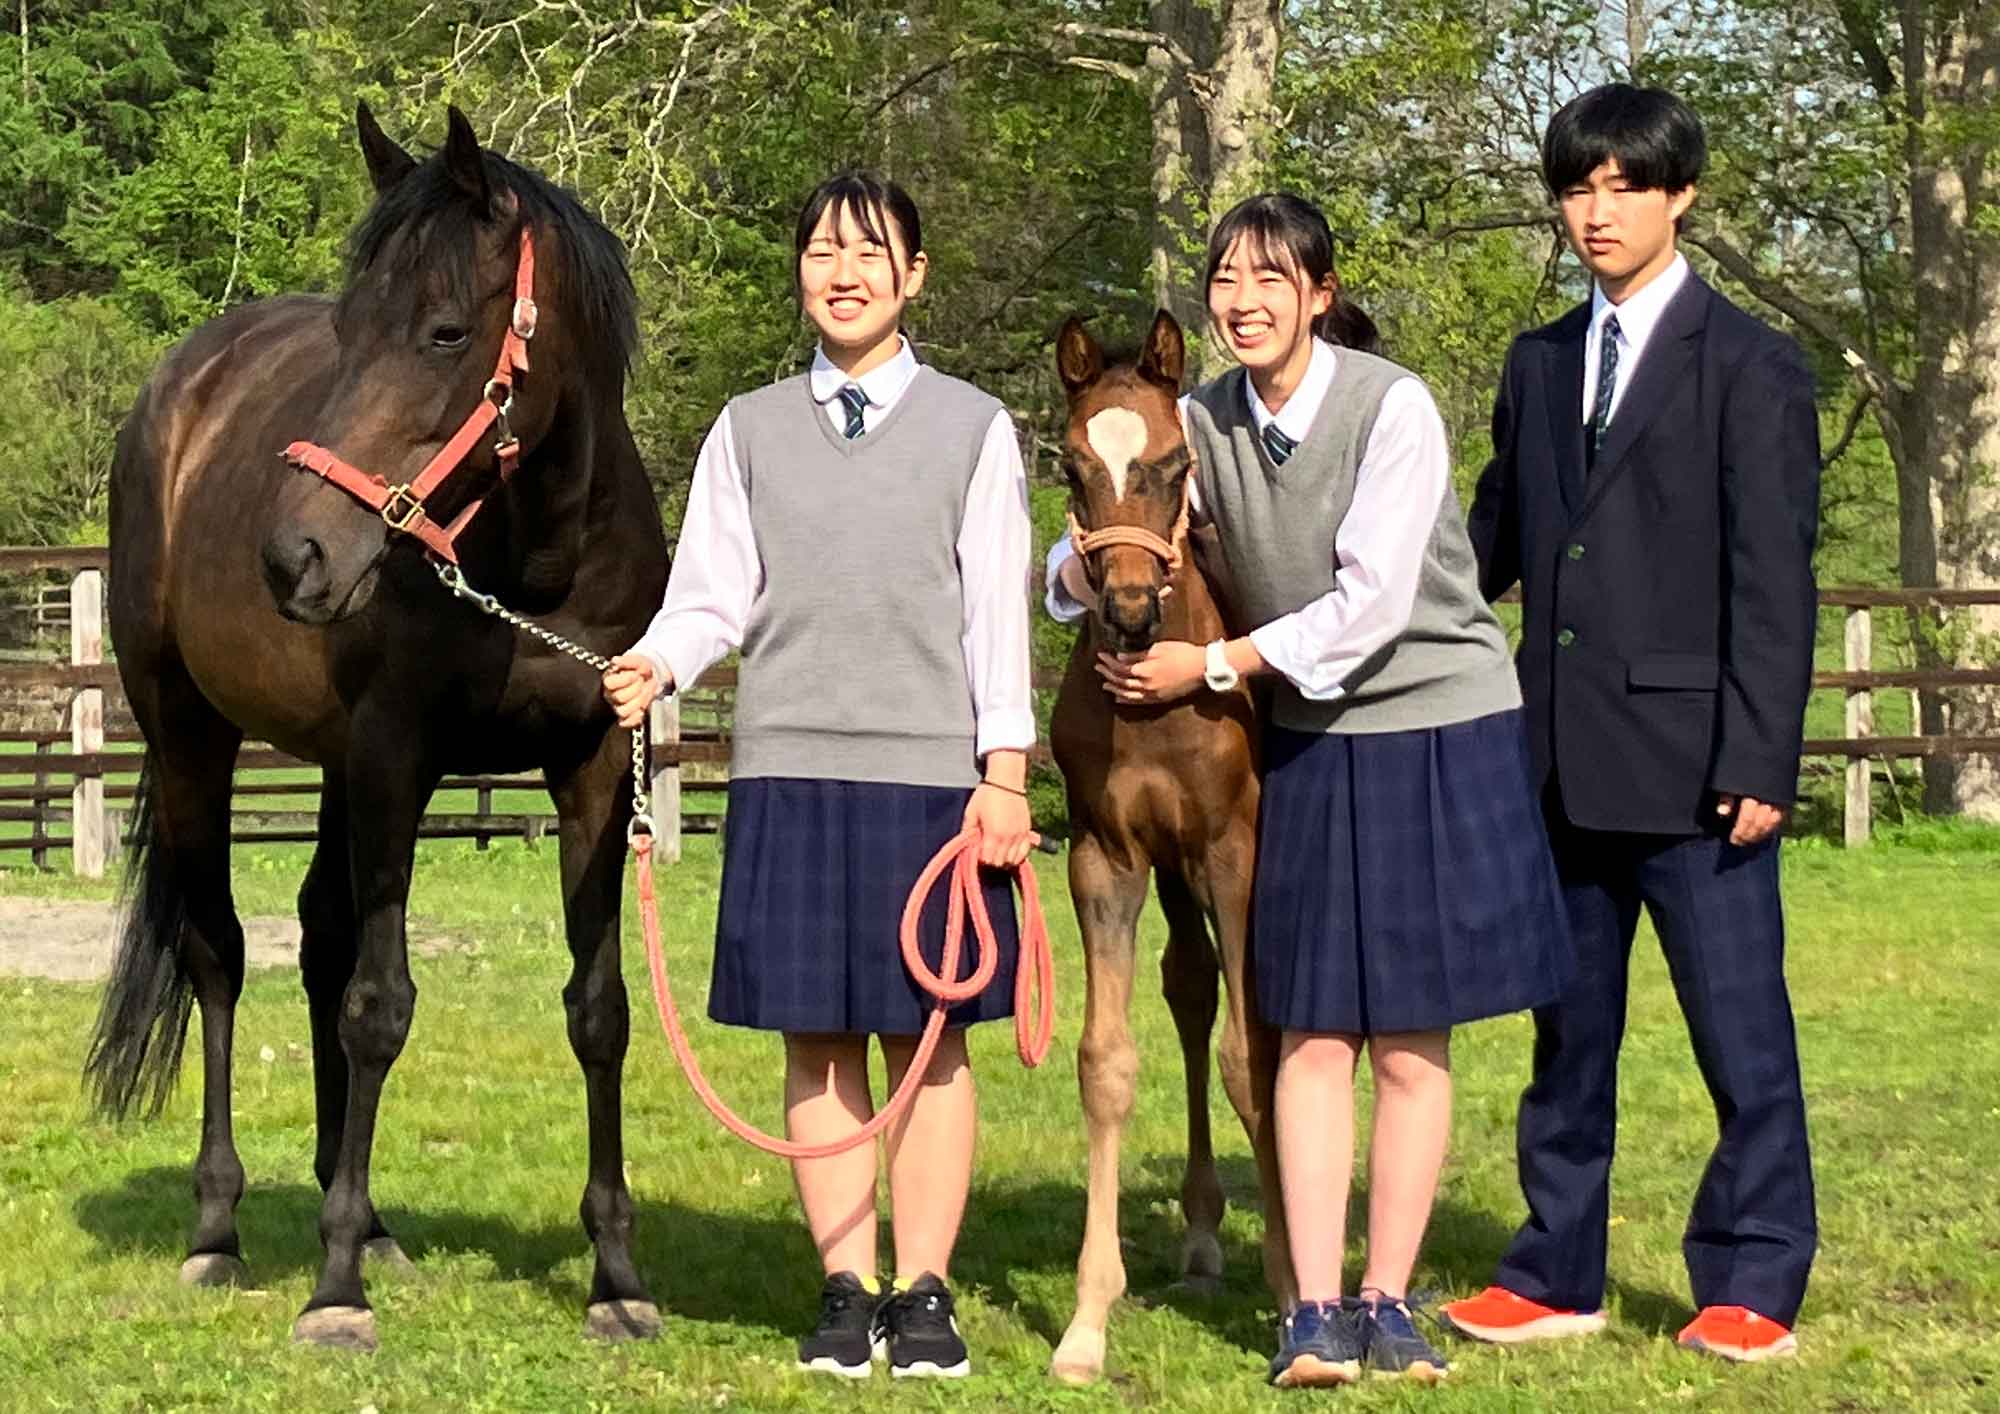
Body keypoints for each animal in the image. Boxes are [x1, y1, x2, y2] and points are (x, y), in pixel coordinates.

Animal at [88, 108, 672, 1352]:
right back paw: (220, 1228)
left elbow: (597, 1009)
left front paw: (614, 1274)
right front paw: (334, 1289)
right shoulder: (397, 758)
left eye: (447, 332)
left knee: (315, 938)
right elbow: (378, 1004)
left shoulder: (594, 762)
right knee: (218, 952)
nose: (291, 557)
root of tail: (179, 386)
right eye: (349, 333)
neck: (531, 566)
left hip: (328, 763)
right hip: (189, 736)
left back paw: (363, 1215)